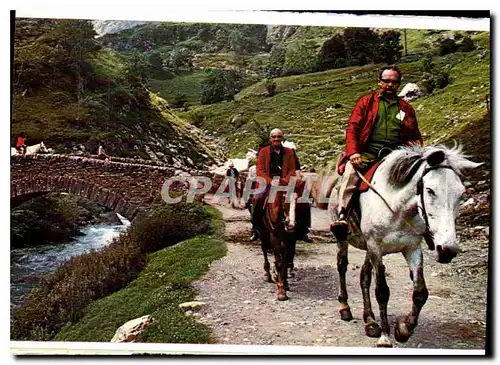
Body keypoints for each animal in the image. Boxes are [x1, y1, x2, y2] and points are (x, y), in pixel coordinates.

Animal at [316, 144, 480, 346]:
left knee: (364, 276)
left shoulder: (412, 249)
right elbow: (382, 291)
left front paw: (404, 329)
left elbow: (420, 292)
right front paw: (385, 336)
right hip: (344, 239)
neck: (398, 209)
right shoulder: (376, 248)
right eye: (430, 190)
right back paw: (345, 308)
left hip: (368, 250)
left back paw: (370, 321)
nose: (447, 250)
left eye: (461, 193)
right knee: (342, 266)